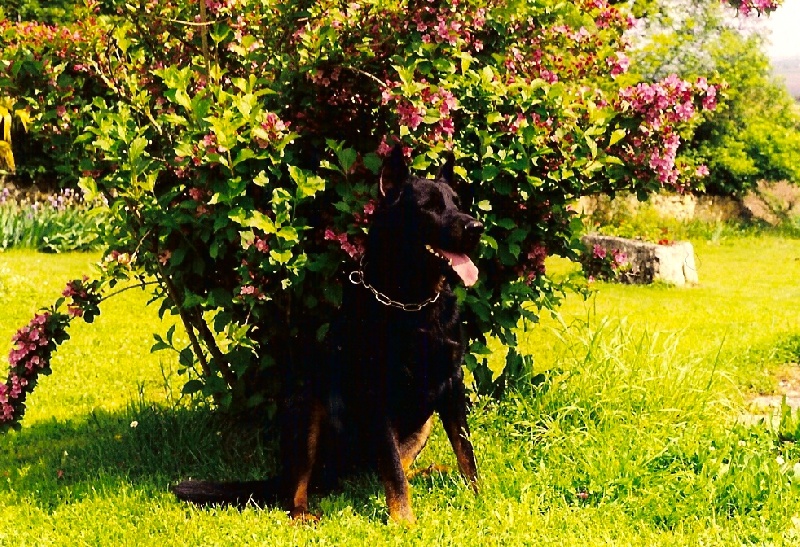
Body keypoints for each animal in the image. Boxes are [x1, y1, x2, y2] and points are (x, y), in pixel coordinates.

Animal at [171, 147, 482, 528]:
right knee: (296, 493)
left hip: (421, 424)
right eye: (430, 206)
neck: (412, 302)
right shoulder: (376, 395)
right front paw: (404, 522)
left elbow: (464, 450)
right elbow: (393, 470)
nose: (477, 228)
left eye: (457, 202)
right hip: (308, 407)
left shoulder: (451, 383)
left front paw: (479, 497)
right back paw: (306, 515)